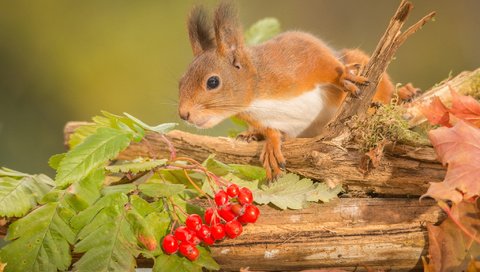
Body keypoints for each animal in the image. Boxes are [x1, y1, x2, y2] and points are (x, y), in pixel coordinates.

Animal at [178, 2, 414, 181]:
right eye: (180, 82)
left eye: (212, 82)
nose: (184, 114)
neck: (257, 97)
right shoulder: (265, 119)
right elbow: (272, 131)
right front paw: (271, 145)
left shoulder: (299, 53)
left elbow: (325, 63)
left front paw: (343, 77)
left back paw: (402, 95)